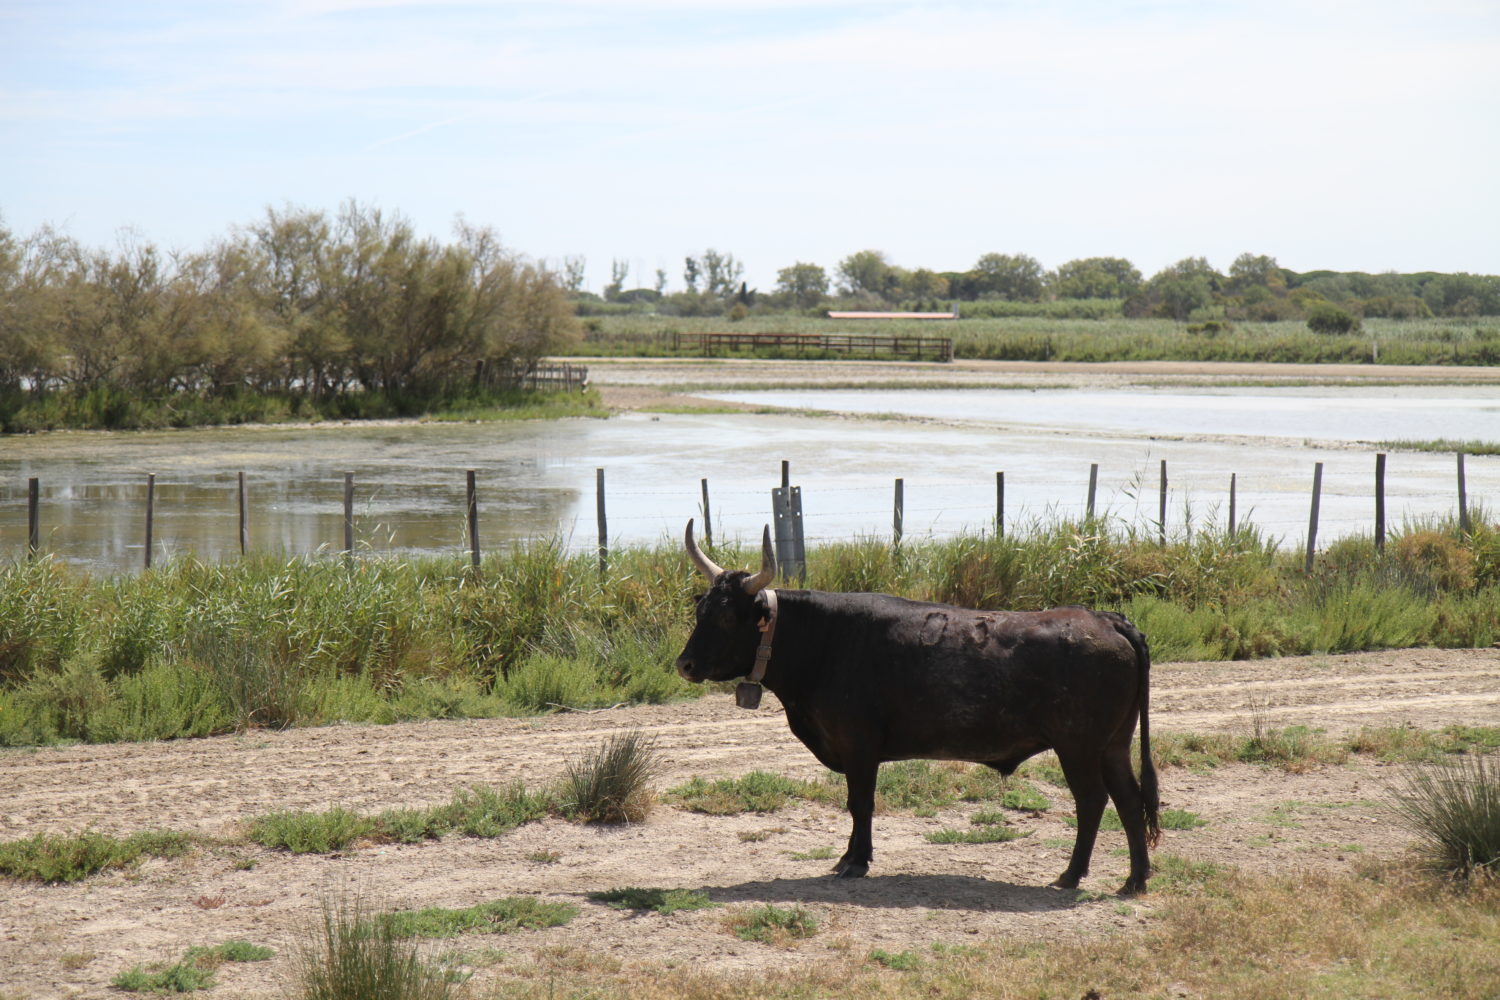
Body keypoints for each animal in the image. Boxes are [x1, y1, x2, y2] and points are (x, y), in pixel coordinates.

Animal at [675, 527, 1164, 893]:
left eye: (725, 617)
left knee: (1092, 800)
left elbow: (860, 802)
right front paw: (849, 857)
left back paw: (1072, 874)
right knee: (1128, 798)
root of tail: (1105, 619)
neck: (825, 642)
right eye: (700, 610)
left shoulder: (858, 745)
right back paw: (1135, 880)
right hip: (1113, 745)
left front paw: (856, 861)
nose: (684, 665)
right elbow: (857, 805)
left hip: (1078, 746)